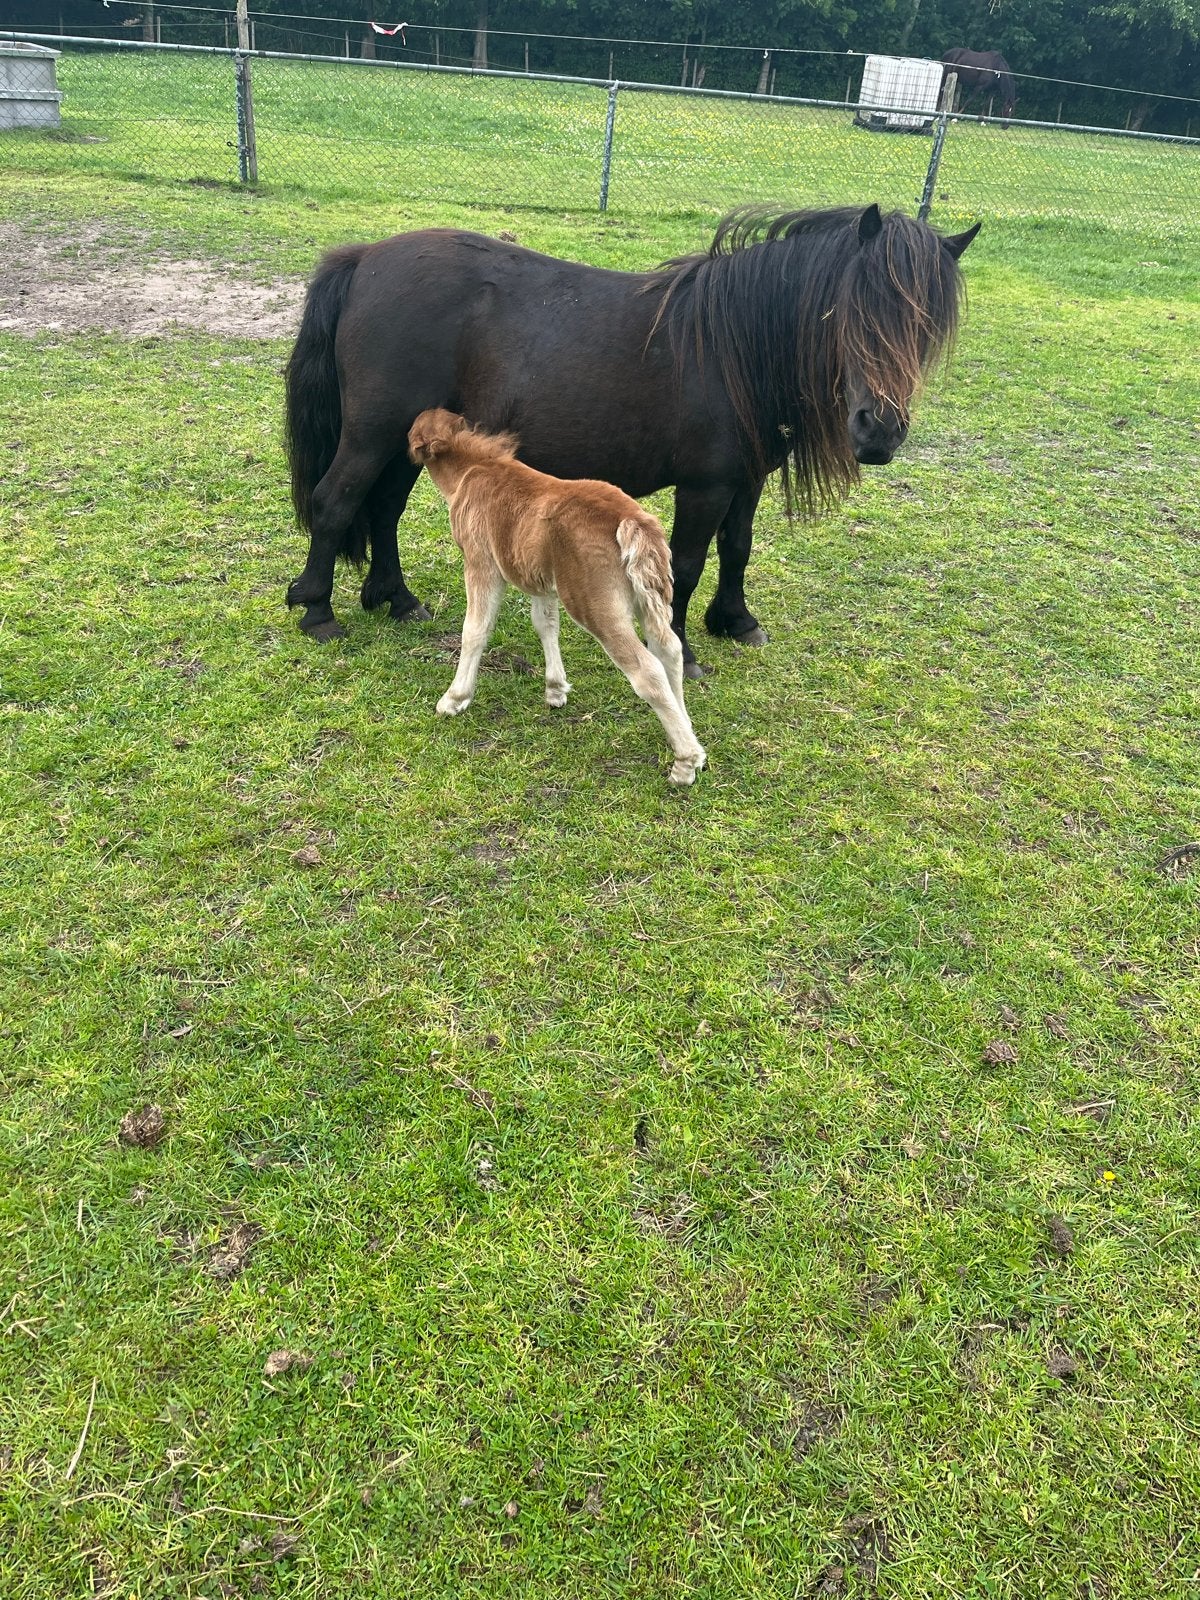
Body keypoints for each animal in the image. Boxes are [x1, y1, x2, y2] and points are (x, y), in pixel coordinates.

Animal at [284, 204, 980, 677]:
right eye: (851, 312)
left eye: (926, 326)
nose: (879, 431)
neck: (733, 346)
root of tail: (367, 258)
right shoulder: (705, 485)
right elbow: (688, 564)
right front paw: (683, 649)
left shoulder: (747, 478)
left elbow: (738, 548)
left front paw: (736, 621)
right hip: (371, 433)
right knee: (335, 502)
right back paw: (319, 611)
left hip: (409, 440)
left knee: (382, 509)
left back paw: (396, 599)